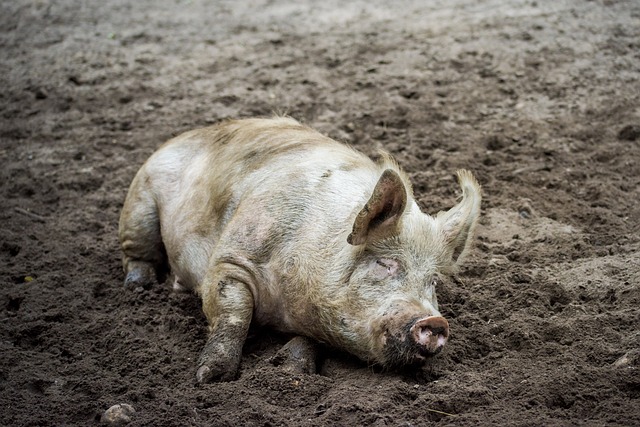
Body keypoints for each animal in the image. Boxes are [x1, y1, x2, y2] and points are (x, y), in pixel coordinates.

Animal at [119, 117, 480, 384]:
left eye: (433, 281)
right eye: (385, 264)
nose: (435, 322)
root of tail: (188, 134)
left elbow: (310, 341)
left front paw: (292, 371)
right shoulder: (231, 258)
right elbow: (233, 312)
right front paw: (210, 378)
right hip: (139, 200)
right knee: (137, 251)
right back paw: (139, 285)